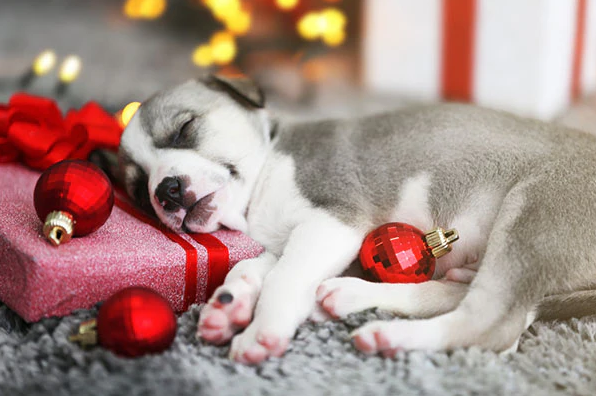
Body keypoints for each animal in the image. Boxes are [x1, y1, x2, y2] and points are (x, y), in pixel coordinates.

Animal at [117, 76, 596, 364]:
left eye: (184, 129)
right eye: (138, 191)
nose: (166, 191)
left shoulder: (332, 224)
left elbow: (282, 278)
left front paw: (262, 331)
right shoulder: (300, 240)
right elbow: (254, 266)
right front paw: (228, 304)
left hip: (533, 214)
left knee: (494, 326)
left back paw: (386, 336)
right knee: (471, 298)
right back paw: (345, 296)